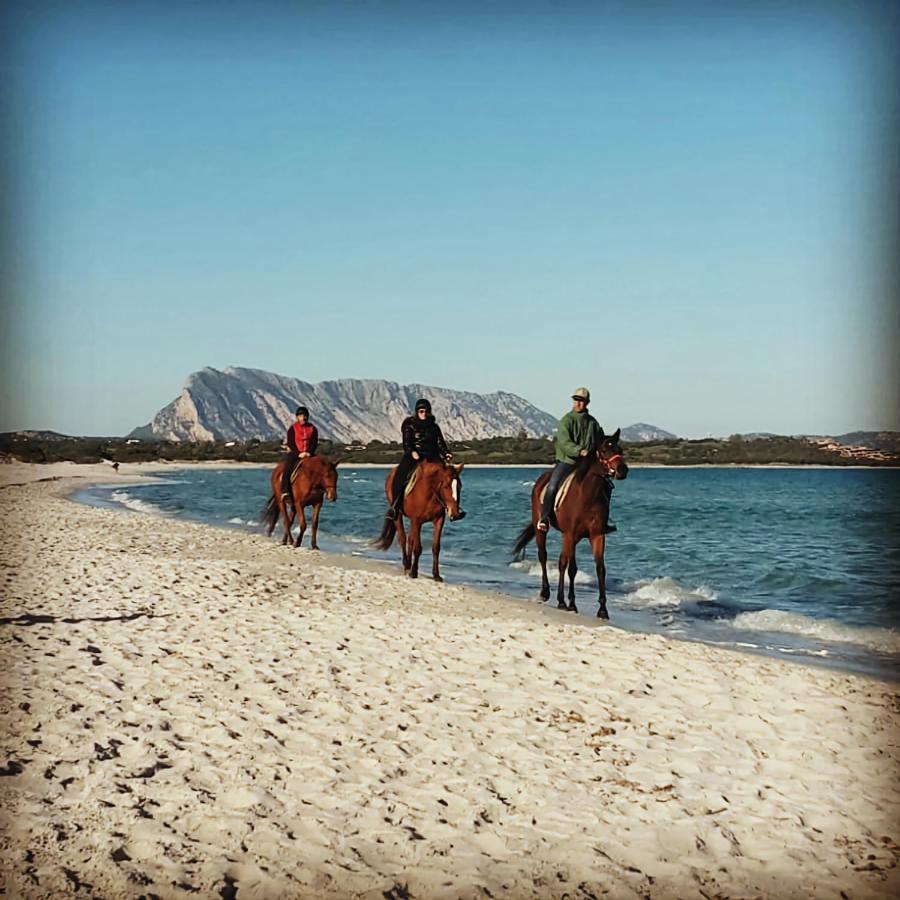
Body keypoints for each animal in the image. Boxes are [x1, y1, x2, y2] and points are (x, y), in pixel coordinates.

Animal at [510, 430, 628, 620]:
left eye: (620, 450)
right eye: (604, 451)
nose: (623, 470)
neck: (587, 496)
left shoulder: (596, 535)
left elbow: (599, 568)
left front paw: (602, 609)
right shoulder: (570, 534)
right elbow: (567, 567)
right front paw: (564, 602)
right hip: (543, 529)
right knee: (544, 556)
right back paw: (546, 593)